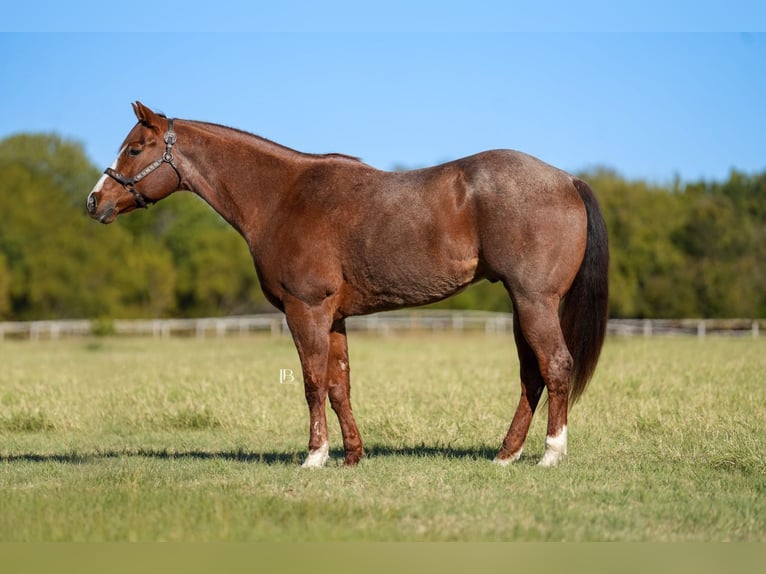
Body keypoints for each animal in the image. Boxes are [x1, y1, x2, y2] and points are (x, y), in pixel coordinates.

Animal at [87, 102, 609, 468]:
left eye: (134, 149)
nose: (95, 201)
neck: (282, 197)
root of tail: (567, 180)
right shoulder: (334, 317)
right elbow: (340, 385)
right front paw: (353, 455)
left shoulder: (306, 309)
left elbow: (313, 382)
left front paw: (314, 457)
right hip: (523, 305)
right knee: (531, 376)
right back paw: (506, 454)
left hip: (534, 301)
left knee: (555, 366)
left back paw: (550, 454)